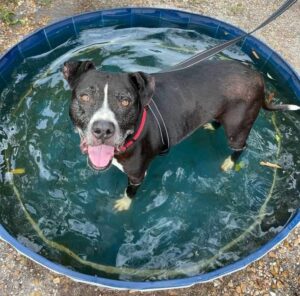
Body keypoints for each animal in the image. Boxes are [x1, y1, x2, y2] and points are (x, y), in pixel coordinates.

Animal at [62, 59, 298, 210]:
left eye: (125, 101)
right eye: (84, 97)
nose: (103, 129)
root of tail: (258, 77)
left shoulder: (137, 176)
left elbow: (130, 192)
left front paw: (124, 203)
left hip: (238, 127)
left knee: (241, 147)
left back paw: (230, 163)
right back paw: (211, 126)